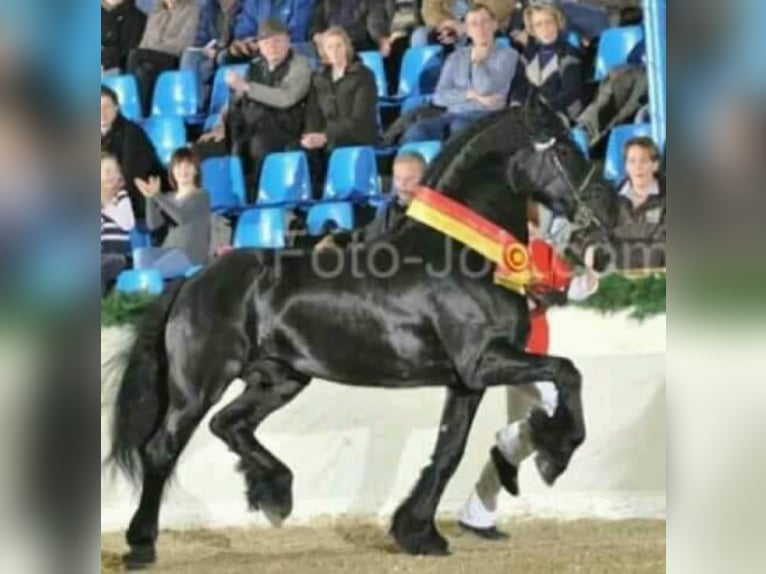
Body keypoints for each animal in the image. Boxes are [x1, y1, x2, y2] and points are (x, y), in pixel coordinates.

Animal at [108, 101, 616, 568]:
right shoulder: (485, 361)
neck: (461, 256)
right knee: (162, 449)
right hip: (198, 385)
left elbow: (448, 452)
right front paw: (556, 453)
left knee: (229, 424)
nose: (607, 211)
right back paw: (142, 545)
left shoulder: (466, 382)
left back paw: (275, 494)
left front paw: (419, 534)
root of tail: (192, 280)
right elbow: (567, 371)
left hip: (281, 379)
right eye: (564, 149)